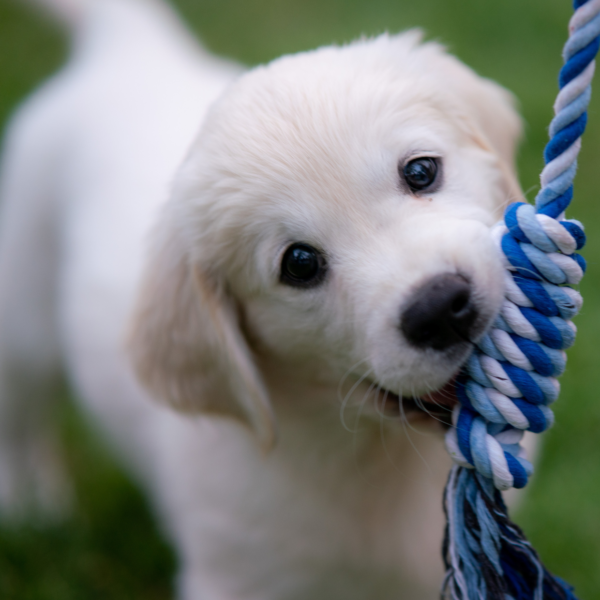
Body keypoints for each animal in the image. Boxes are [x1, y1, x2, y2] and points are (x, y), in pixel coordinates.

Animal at [0, 0, 524, 596]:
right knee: (19, 413)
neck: (373, 454)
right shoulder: (235, 574)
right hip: (22, 314)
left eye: (420, 170)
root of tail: (127, 53)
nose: (439, 309)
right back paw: (30, 510)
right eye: (299, 264)